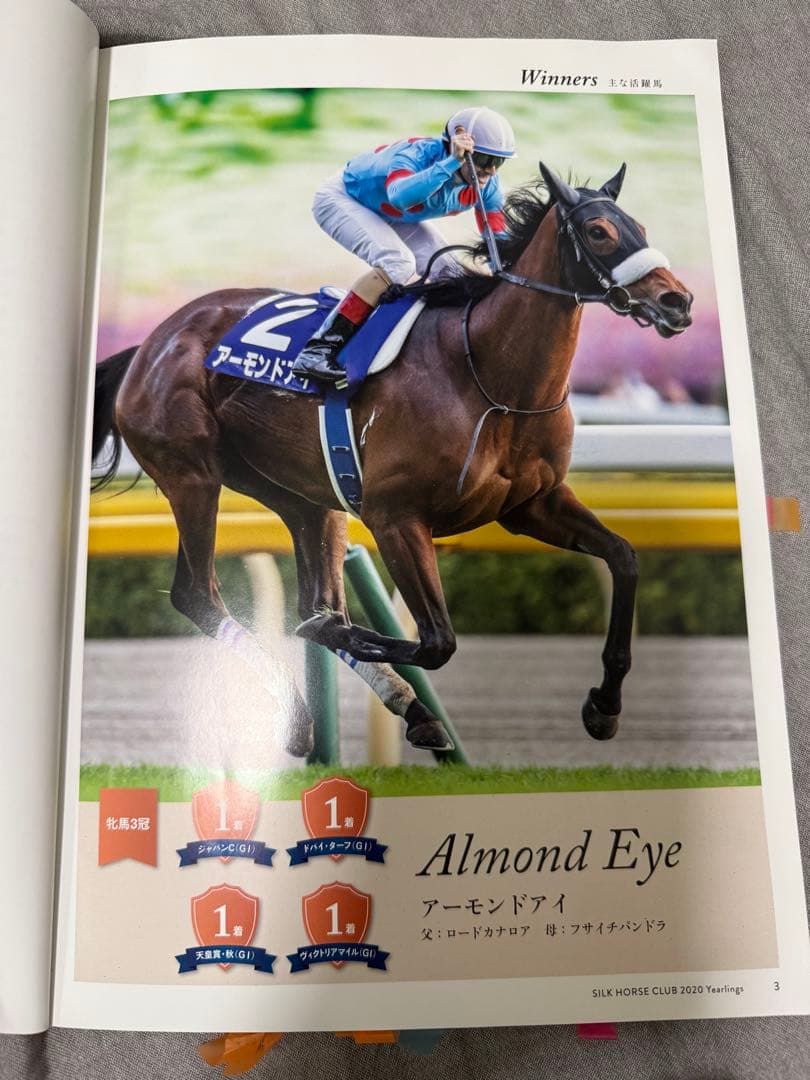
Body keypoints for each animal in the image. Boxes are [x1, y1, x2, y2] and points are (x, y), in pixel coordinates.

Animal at [91, 161, 693, 760]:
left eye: (638, 225)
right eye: (599, 231)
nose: (677, 302)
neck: (487, 375)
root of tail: (150, 344)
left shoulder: (532, 505)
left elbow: (624, 558)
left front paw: (604, 706)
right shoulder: (395, 517)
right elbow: (436, 641)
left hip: (302, 495)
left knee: (316, 595)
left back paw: (409, 710)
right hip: (194, 476)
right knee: (199, 594)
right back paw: (304, 716)